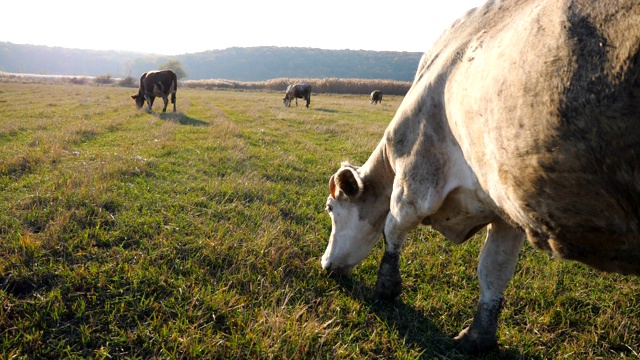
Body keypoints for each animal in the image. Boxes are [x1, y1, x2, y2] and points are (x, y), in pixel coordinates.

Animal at [322, 0, 640, 354]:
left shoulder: (416, 178)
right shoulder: (509, 210)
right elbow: (494, 270)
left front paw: (386, 288)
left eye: (331, 209)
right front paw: (478, 336)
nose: (324, 264)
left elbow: (393, 230)